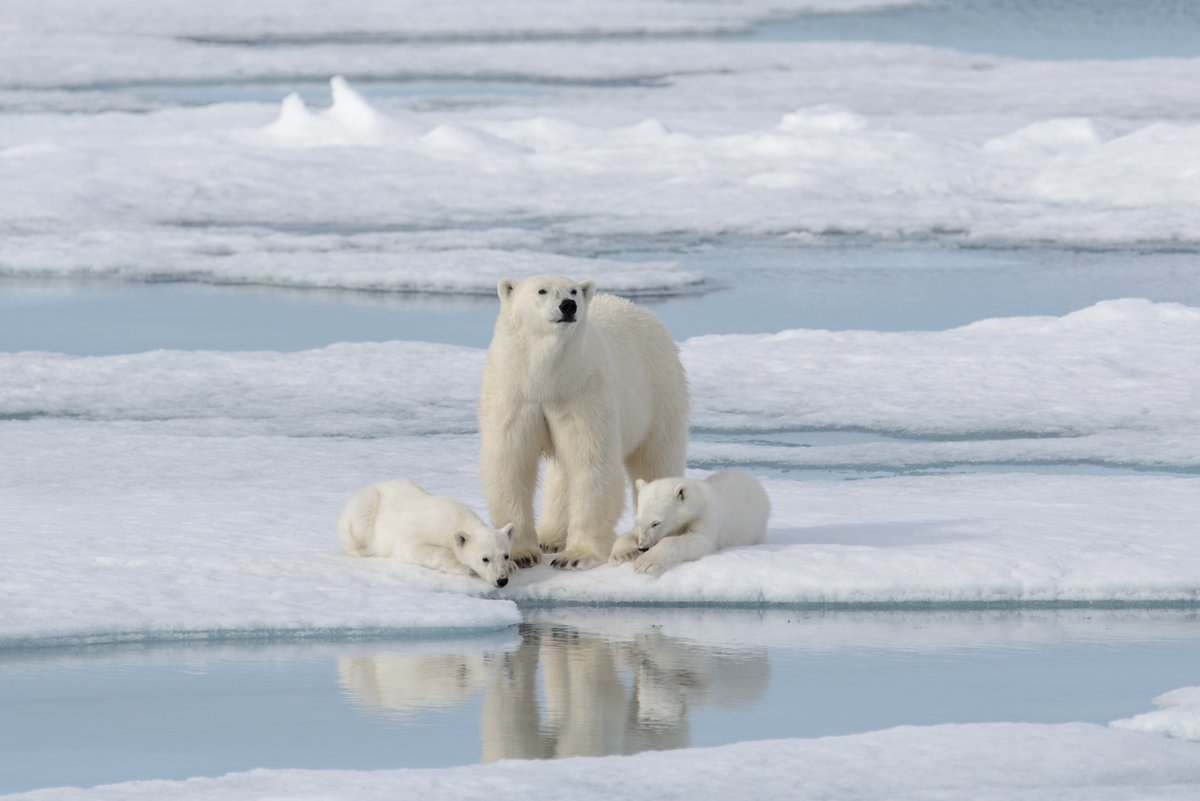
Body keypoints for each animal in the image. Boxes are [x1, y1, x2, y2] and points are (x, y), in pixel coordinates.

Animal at [336, 478, 514, 587]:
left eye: (506, 555)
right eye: (485, 559)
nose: (502, 580)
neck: (458, 519)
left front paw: (512, 566)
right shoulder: (427, 529)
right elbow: (411, 548)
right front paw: (463, 567)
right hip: (367, 505)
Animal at [479, 275, 689, 570]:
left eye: (574, 290)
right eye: (541, 291)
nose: (568, 306)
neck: (547, 379)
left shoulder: (582, 392)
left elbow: (591, 462)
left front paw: (575, 556)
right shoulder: (515, 395)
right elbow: (511, 462)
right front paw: (521, 554)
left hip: (660, 391)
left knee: (655, 459)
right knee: (560, 476)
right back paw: (551, 536)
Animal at [609, 469, 770, 576]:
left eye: (656, 523)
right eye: (638, 520)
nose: (643, 547)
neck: (697, 502)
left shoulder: (707, 515)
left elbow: (699, 541)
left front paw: (646, 562)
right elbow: (629, 534)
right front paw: (621, 554)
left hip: (758, 524)